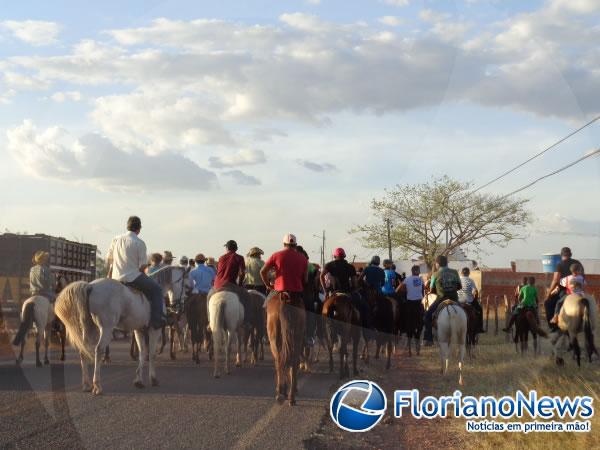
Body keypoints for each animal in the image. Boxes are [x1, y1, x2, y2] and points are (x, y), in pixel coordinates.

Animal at [54, 268, 185, 394]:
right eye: (185, 282)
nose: (178, 306)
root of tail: (90, 286)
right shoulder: (154, 330)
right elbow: (152, 354)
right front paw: (153, 379)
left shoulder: (139, 330)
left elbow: (142, 353)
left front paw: (138, 380)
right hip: (106, 328)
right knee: (99, 349)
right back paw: (97, 386)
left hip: (89, 328)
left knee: (83, 351)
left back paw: (86, 385)